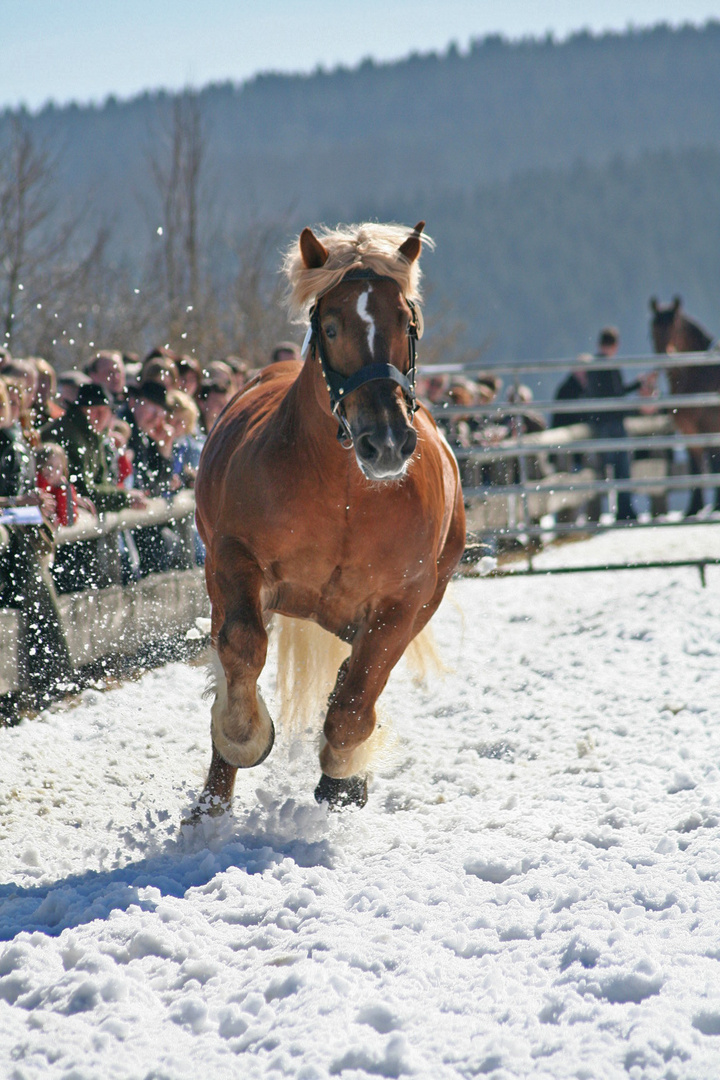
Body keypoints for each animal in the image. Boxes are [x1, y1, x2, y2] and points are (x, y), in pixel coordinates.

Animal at [647, 295, 720, 514]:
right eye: (652, 330)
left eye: (676, 328)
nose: (666, 355)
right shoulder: (690, 431)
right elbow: (697, 466)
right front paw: (695, 508)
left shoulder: (706, 429)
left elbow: (710, 464)